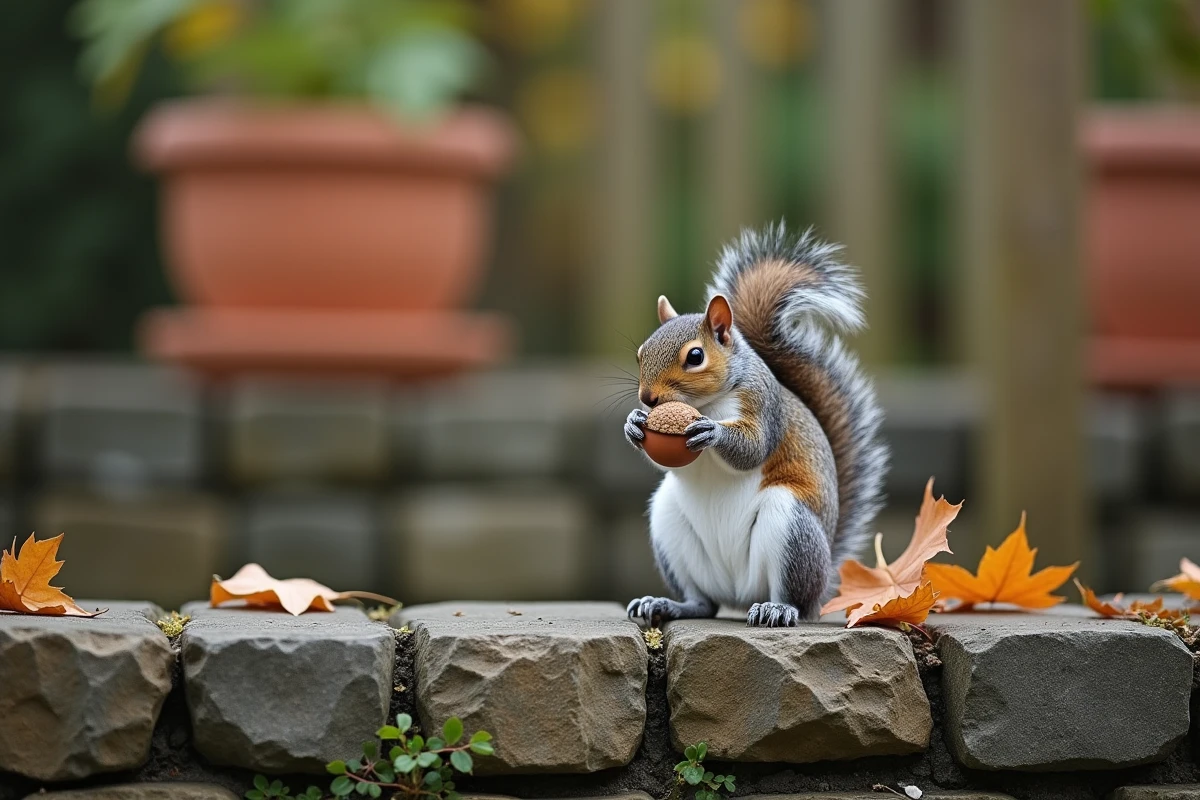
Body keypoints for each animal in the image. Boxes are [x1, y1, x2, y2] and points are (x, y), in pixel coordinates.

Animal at [623, 222, 888, 627]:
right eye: (640, 354)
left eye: (695, 356)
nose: (648, 399)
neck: (708, 403)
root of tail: (739, 595)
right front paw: (633, 424)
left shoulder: (763, 406)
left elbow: (753, 448)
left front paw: (713, 432)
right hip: (668, 522)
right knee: (704, 602)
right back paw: (668, 604)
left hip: (790, 526)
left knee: (793, 599)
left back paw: (777, 608)